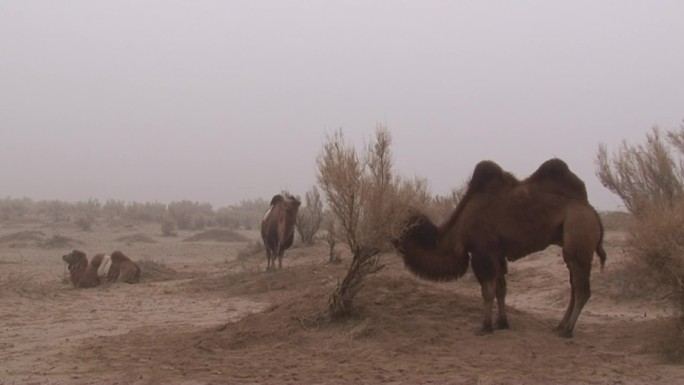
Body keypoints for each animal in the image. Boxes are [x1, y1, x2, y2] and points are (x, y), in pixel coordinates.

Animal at [392, 158, 608, 336]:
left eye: (402, 227)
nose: (392, 238)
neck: (459, 229)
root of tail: (593, 213)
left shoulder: (482, 252)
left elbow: (487, 290)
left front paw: (485, 327)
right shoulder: (496, 253)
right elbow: (500, 289)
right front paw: (502, 323)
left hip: (578, 232)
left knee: (582, 289)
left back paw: (567, 330)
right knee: (574, 287)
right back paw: (560, 325)